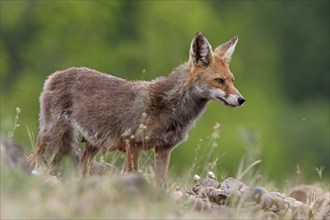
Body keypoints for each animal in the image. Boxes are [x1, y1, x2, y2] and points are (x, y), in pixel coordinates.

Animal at [28, 31, 245, 185]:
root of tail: (56, 74)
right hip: (51, 135)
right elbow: (133, 174)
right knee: (32, 159)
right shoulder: (132, 144)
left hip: (91, 147)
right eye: (219, 81)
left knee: (78, 174)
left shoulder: (164, 149)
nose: (241, 99)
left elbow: (161, 184)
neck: (171, 106)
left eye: (232, 80)